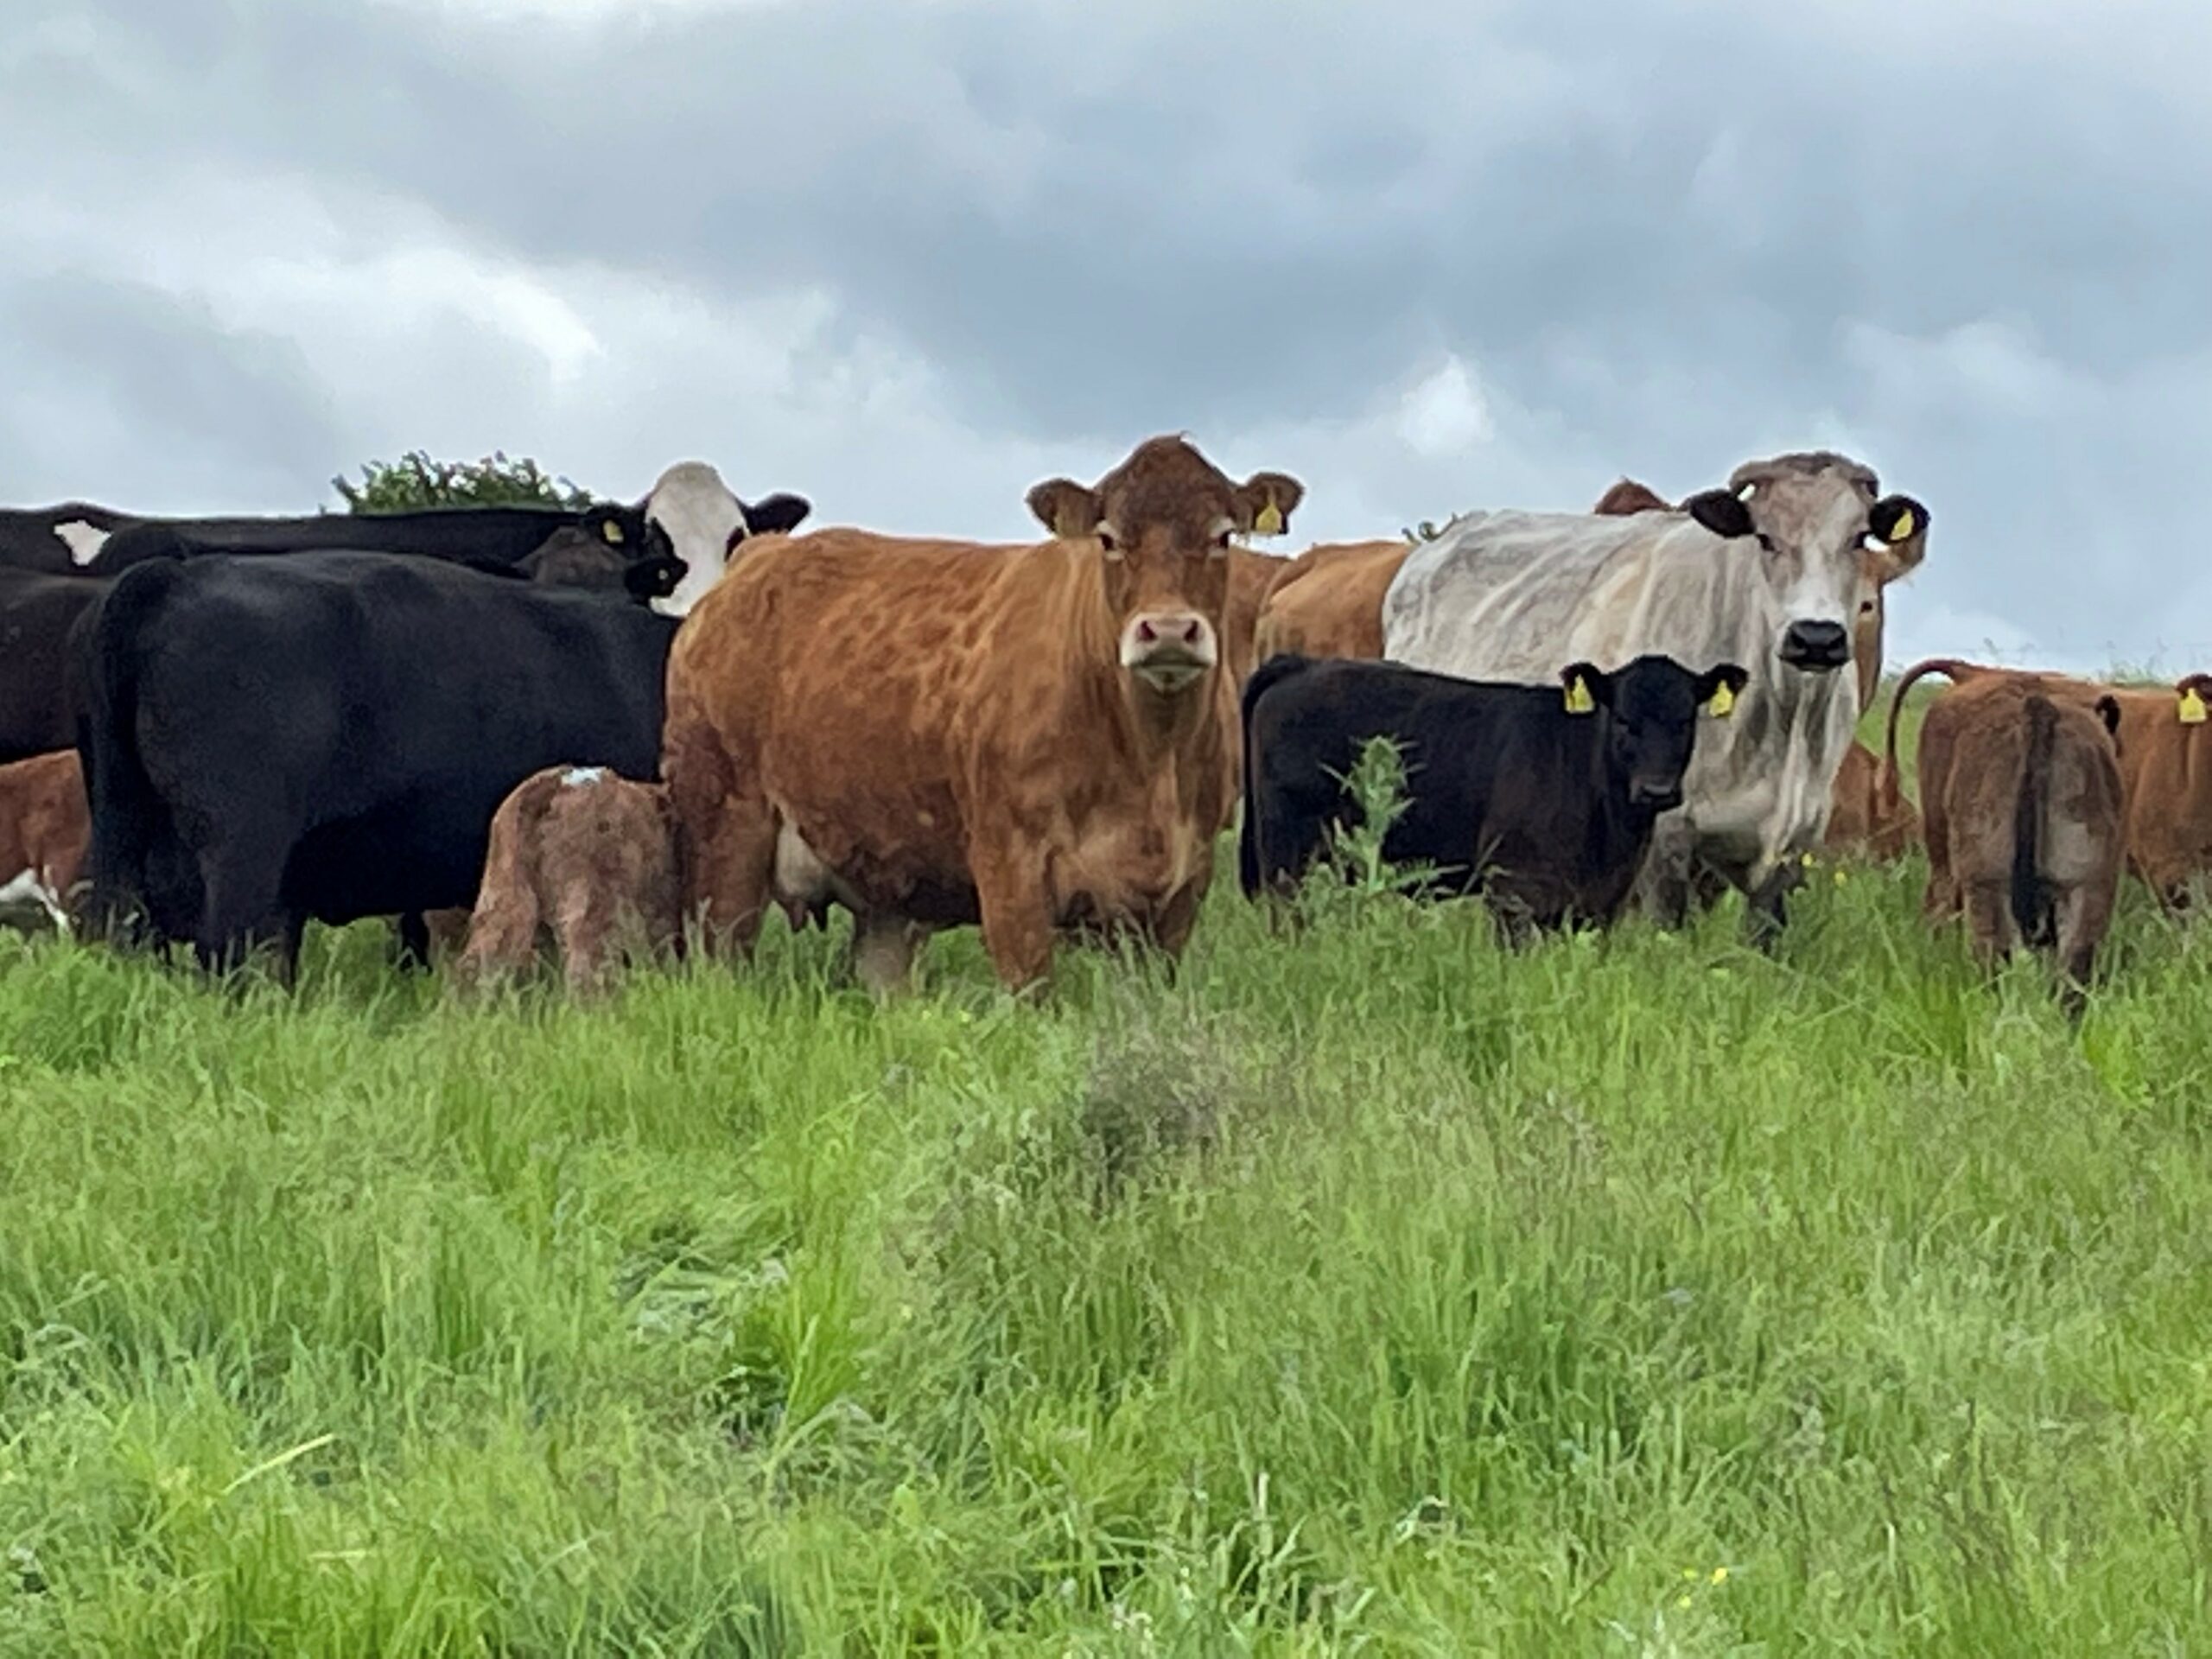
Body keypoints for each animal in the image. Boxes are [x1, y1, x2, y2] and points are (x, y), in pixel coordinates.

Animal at [661, 434, 1304, 993]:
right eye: (1108, 538)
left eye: (1222, 537)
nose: (1168, 630)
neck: (1151, 763)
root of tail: (759, 556)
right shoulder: (1010, 871)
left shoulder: (1180, 891)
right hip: (726, 844)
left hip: (885, 883)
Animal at [1239, 652, 1749, 937]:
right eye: (1624, 720)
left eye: (1685, 721)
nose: (1656, 790)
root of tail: (1303, 664)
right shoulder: (1514, 890)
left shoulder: (1602, 903)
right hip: (1288, 853)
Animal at [1381, 451, 1931, 940]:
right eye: (1765, 538)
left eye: (1858, 538)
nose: (1816, 636)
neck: (1783, 722)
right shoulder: (1666, 841)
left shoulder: (1788, 851)